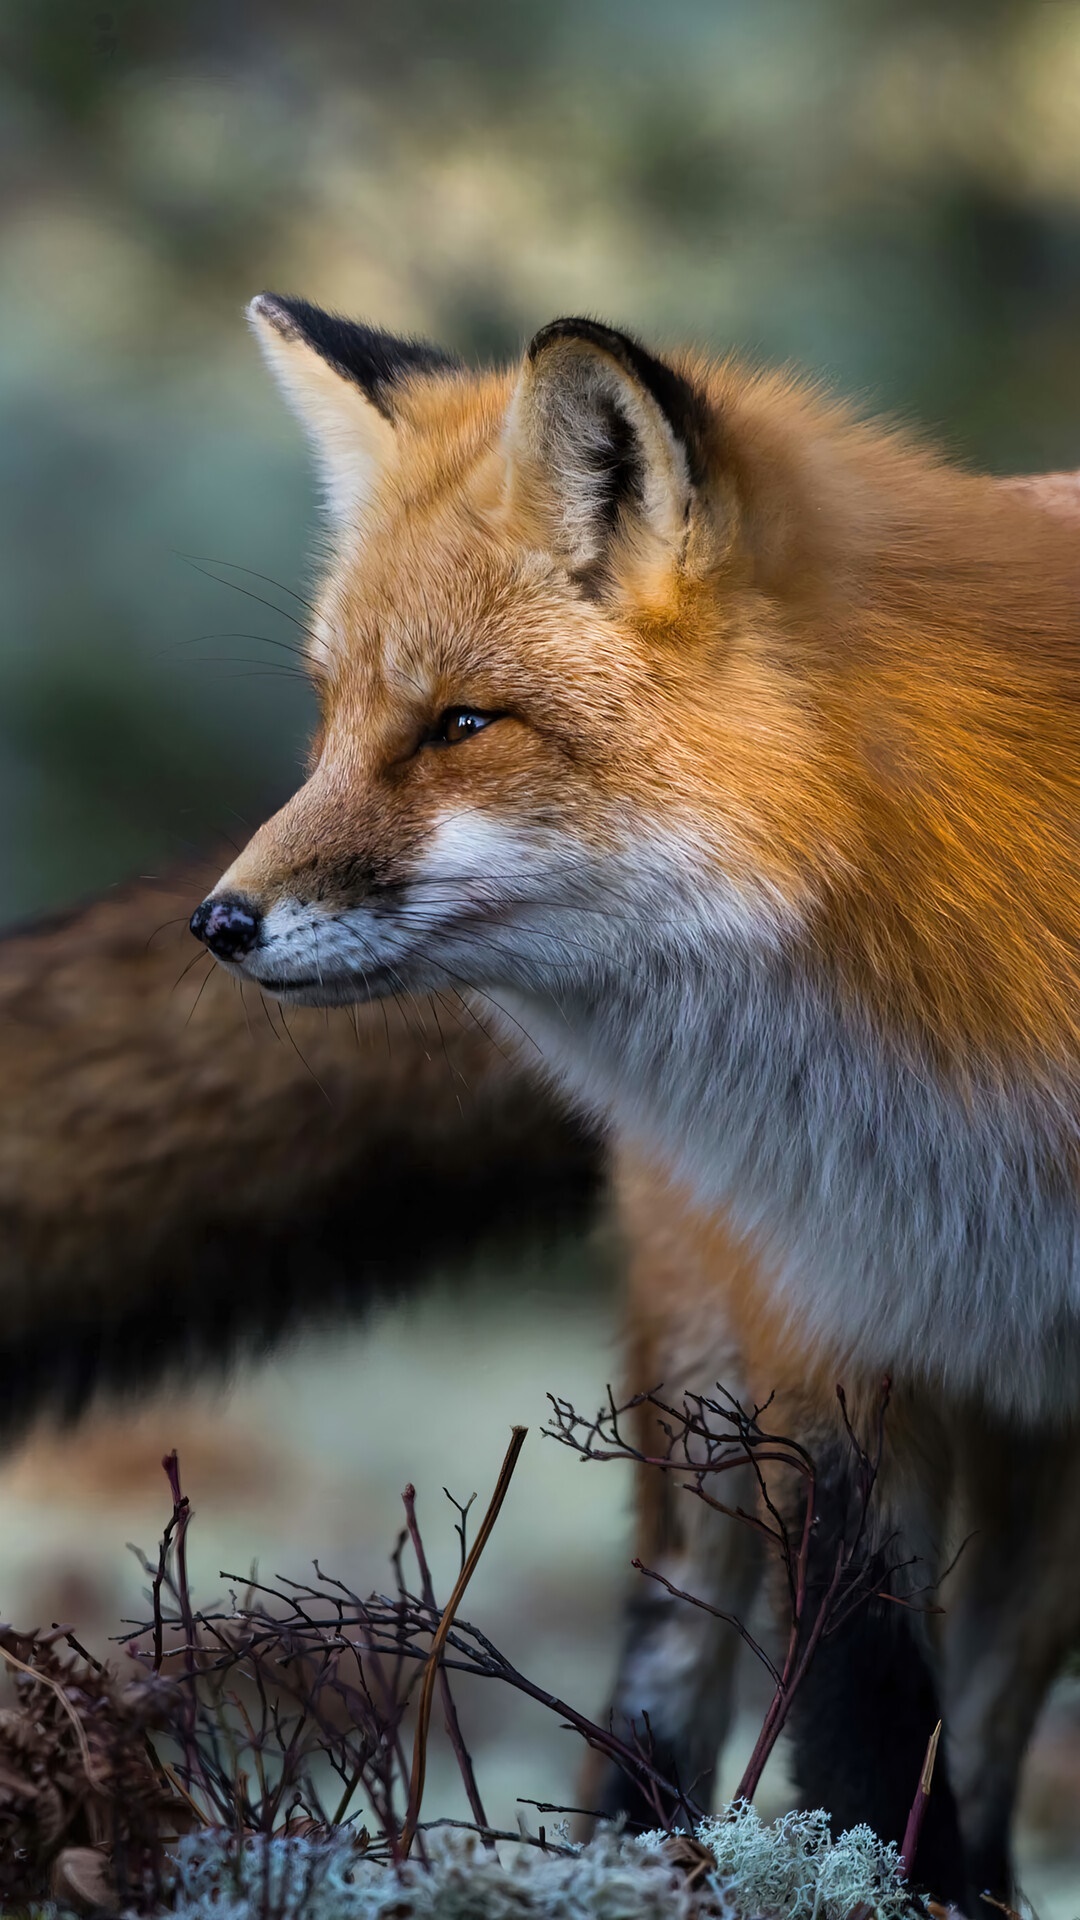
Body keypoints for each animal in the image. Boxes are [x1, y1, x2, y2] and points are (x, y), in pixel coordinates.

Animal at [180, 290, 1080, 1904]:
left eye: (460, 725)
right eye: (332, 717)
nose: (219, 923)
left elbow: (929, 1732)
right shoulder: (829, 1325)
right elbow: (863, 1705)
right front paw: (900, 1887)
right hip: (705, 1378)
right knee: (669, 1662)